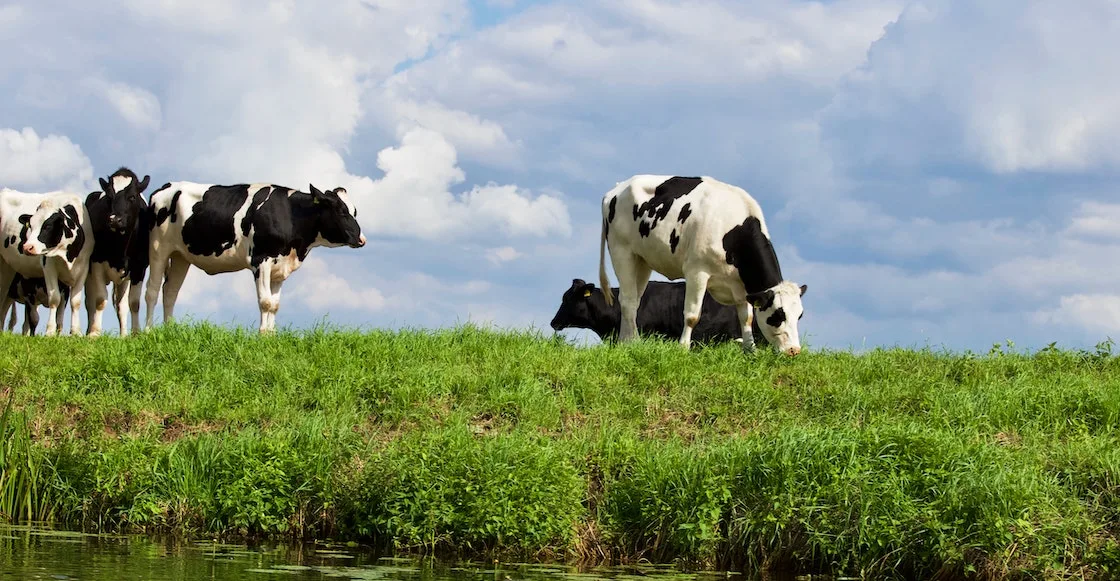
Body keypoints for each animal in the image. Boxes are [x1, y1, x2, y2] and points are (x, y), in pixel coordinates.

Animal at [0, 189, 93, 336]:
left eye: (48, 226)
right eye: (30, 226)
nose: (27, 247)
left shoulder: (83, 267)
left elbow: (76, 302)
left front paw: (76, 332)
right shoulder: (48, 266)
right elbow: (54, 299)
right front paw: (50, 331)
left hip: (8, 268)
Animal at [83, 167, 152, 336]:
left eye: (132, 196)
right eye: (109, 196)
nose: (115, 219)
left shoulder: (139, 268)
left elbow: (133, 303)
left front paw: (135, 333)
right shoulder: (96, 263)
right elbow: (100, 300)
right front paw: (95, 333)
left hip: (124, 280)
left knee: (121, 305)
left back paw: (123, 334)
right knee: (89, 303)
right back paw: (88, 331)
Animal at [133, 182, 366, 334]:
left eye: (354, 211)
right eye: (340, 210)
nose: (361, 239)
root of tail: (166, 187)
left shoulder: (280, 267)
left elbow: (275, 304)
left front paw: (271, 336)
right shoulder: (261, 260)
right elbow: (265, 302)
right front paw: (262, 335)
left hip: (181, 256)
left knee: (170, 292)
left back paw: (168, 331)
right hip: (158, 249)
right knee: (152, 291)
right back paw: (148, 332)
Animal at [599, 175, 807, 356]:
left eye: (799, 315)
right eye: (778, 316)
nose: (794, 351)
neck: (733, 231)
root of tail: (617, 188)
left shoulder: (740, 286)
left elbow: (746, 318)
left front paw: (750, 351)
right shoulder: (696, 272)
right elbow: (692, 315)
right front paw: (683, 348)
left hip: (641, 259)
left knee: (633, 300)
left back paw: (626, 342)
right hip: (621, 250)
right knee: (627, 300)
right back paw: (633, 341)